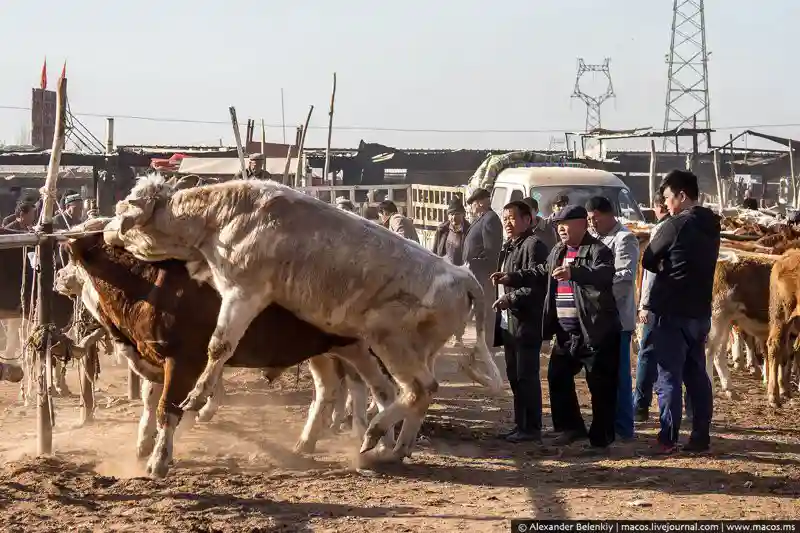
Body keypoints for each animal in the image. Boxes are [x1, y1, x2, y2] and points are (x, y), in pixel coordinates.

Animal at [53, 233, 396, 478]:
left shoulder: (183, 362)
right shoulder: (155, 357)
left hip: (365, 347)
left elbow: (170, 409)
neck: (147, 286)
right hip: (330, 349)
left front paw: (159, 461)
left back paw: (379, 444)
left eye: (71, 262)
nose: (56, 276)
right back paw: (315, 442)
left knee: (381, 389)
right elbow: (152, 402)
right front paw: (144, 445)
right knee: (338, 388)